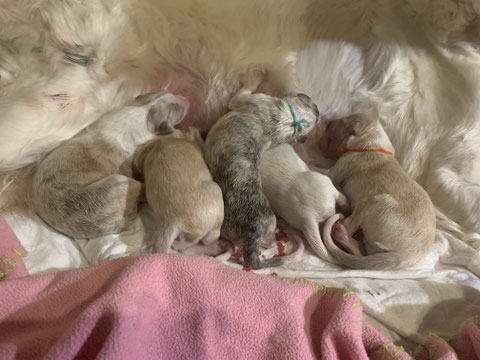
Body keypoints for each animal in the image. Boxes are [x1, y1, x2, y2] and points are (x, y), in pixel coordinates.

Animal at [32, 90, 188, 239]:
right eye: (178, 112)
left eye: (166, 92)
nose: (185, 100)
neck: (145, 111)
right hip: (120, 181)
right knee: (141, 190)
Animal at [203, 79, 318, 270]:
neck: (291, 121)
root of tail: (253, 228)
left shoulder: (252, 99)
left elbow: (240, 95)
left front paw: (255, 78)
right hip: (269, 225)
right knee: (267, 242)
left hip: (228, 228)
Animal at [320, 114, 436, 268]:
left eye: (343, 121)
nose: (326, 122)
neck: (375, 144)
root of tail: (411, 251)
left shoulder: (343, 164)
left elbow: (322, 170)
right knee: (363, 251)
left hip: (376, 202)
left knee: (349, 225)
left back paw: (340, 231)